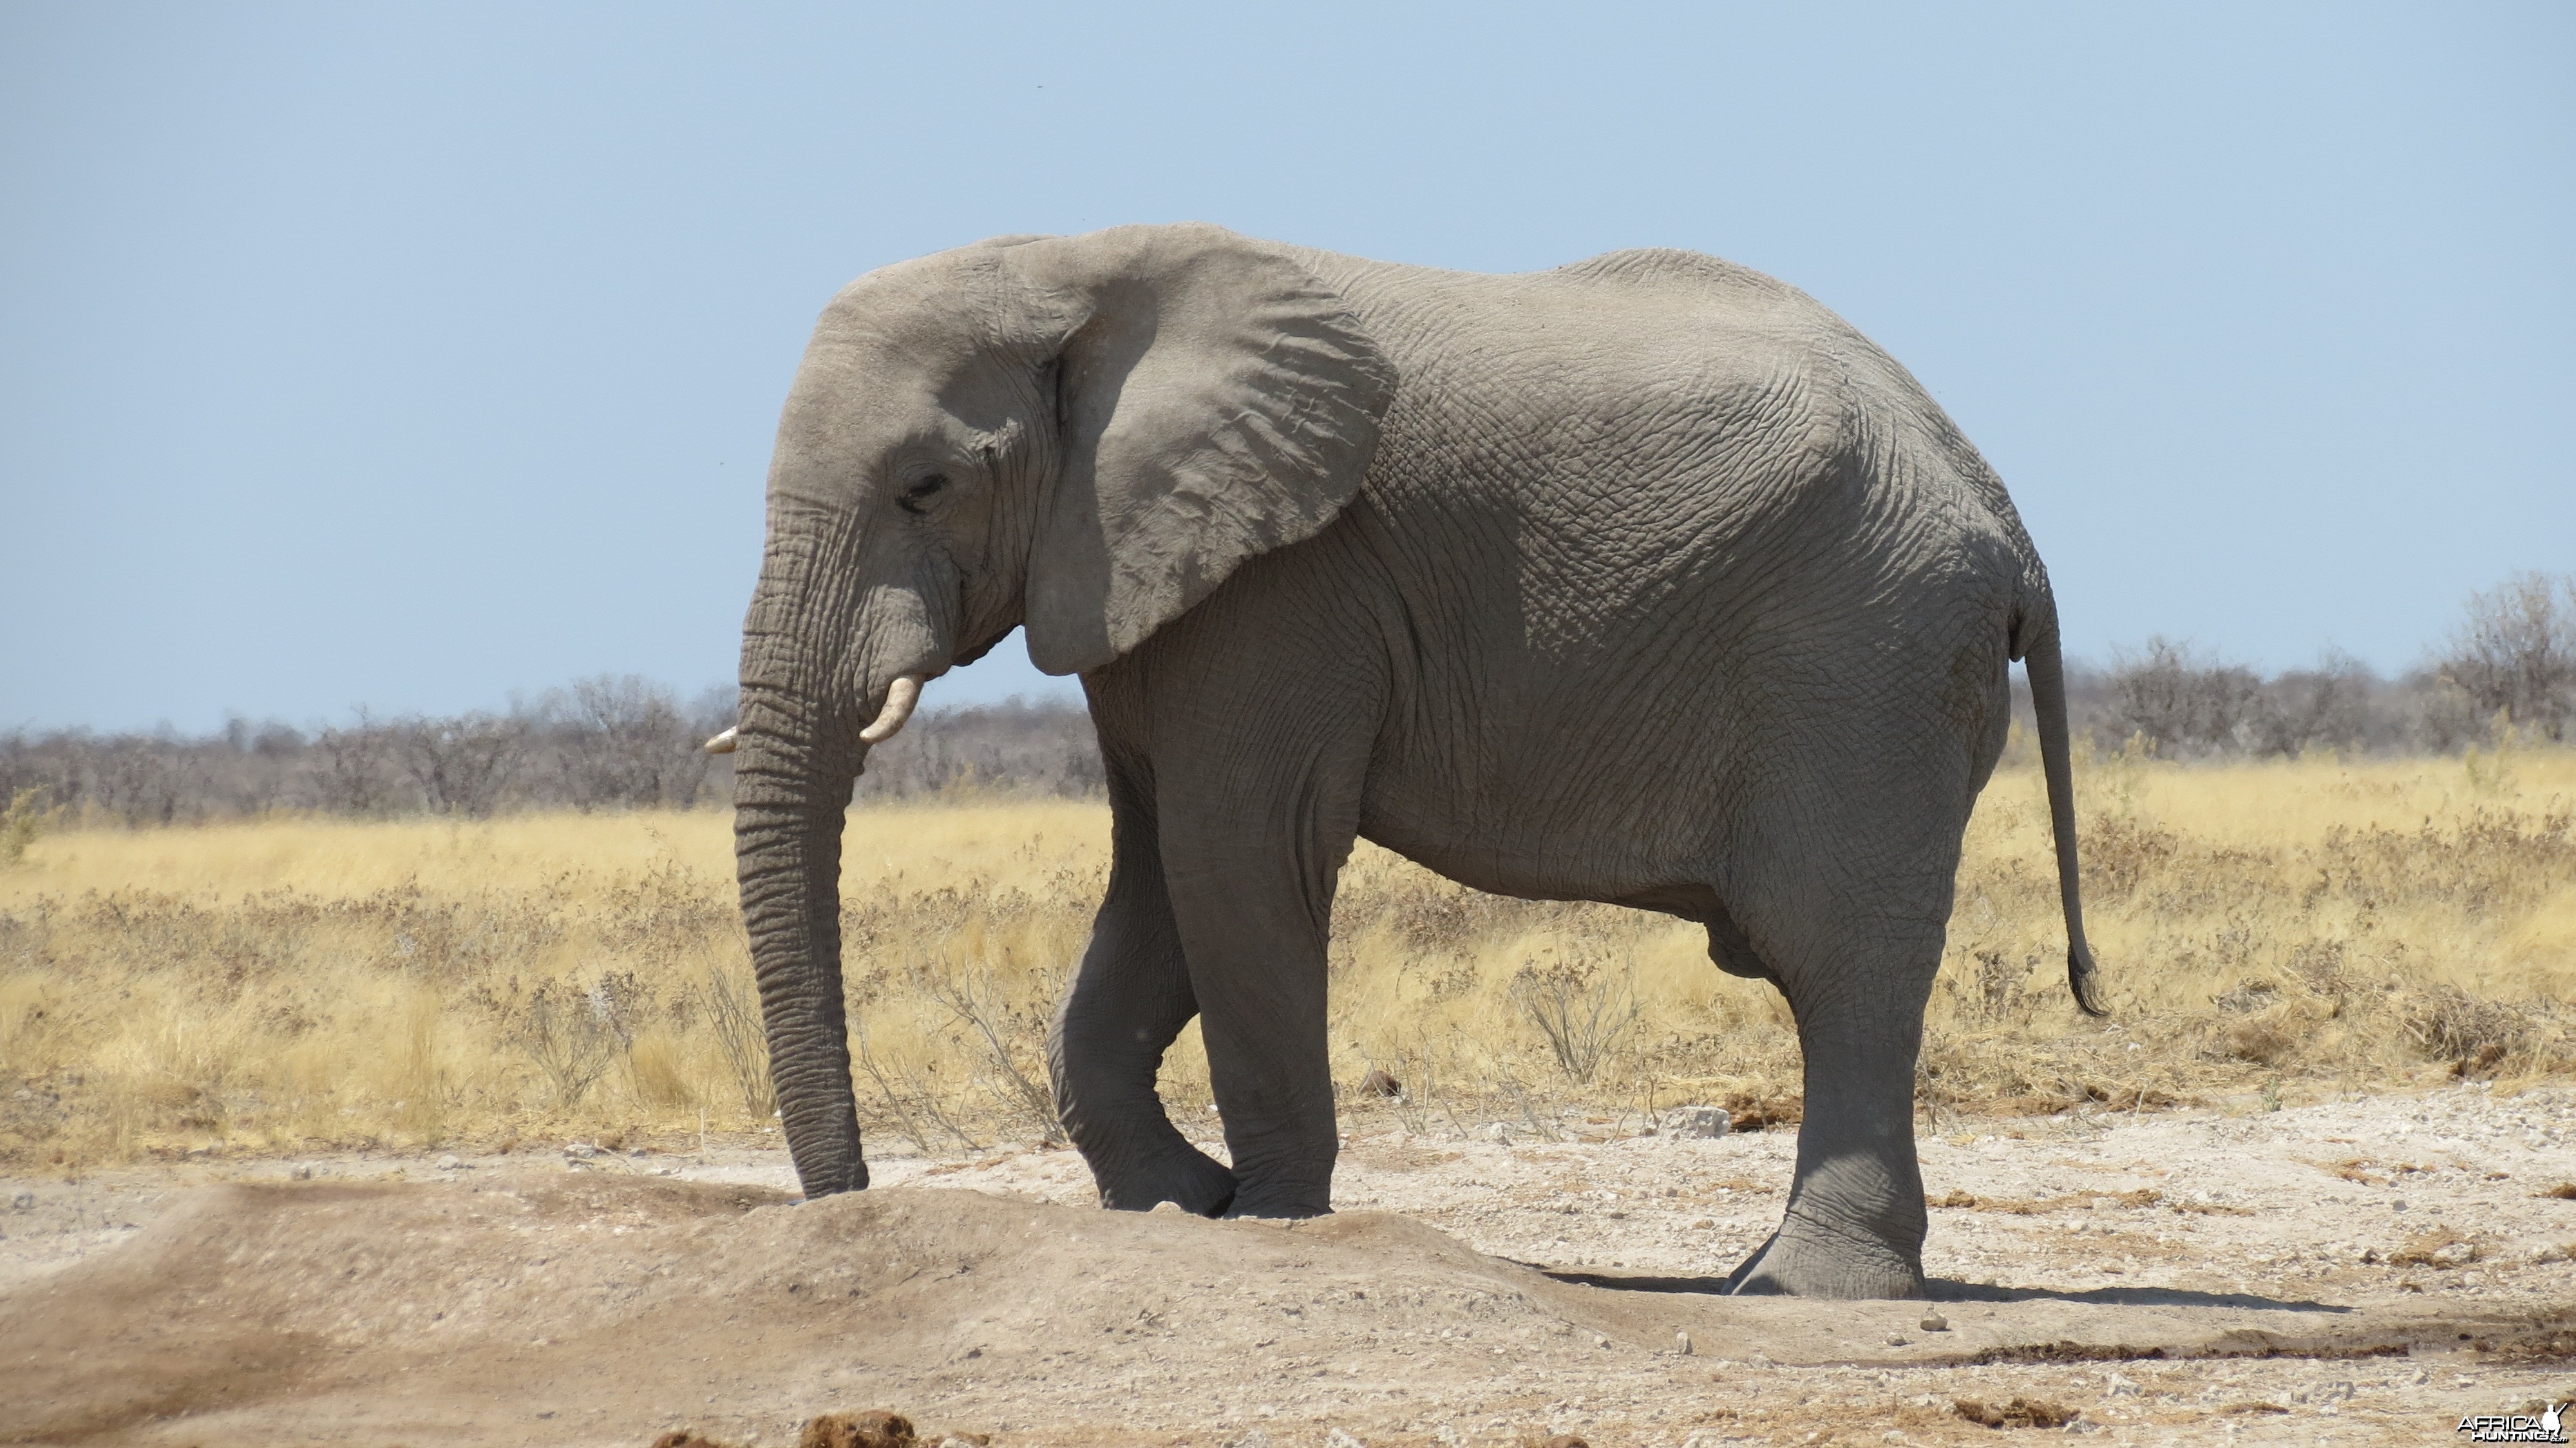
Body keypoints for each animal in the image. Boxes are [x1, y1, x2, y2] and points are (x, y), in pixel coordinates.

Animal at [716, 223, 2102, 1299]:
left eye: (926, 484)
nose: (847, 1207)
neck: (1075, 266)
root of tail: (2009, 524)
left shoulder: (1287, 582)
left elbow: (1240, 853)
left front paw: (1268, 1221)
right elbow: (1157, 869)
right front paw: (1183, 1204)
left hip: (1865, 662)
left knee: (1838, 958)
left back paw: (1800, 1288)